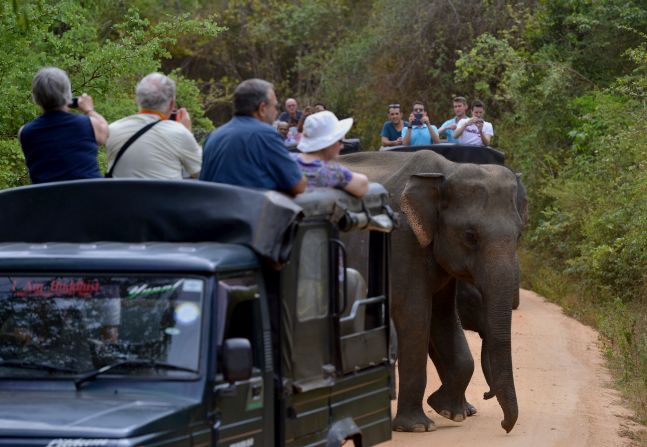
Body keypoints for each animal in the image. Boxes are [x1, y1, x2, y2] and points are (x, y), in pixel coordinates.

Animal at [340, 150, 528, 434]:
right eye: (470, 236)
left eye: (518, 236)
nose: (505, 426)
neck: (446, 171)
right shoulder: (401, 240)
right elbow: (416, 316)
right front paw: (417, 427)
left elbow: (443, 316)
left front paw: (450, 411)